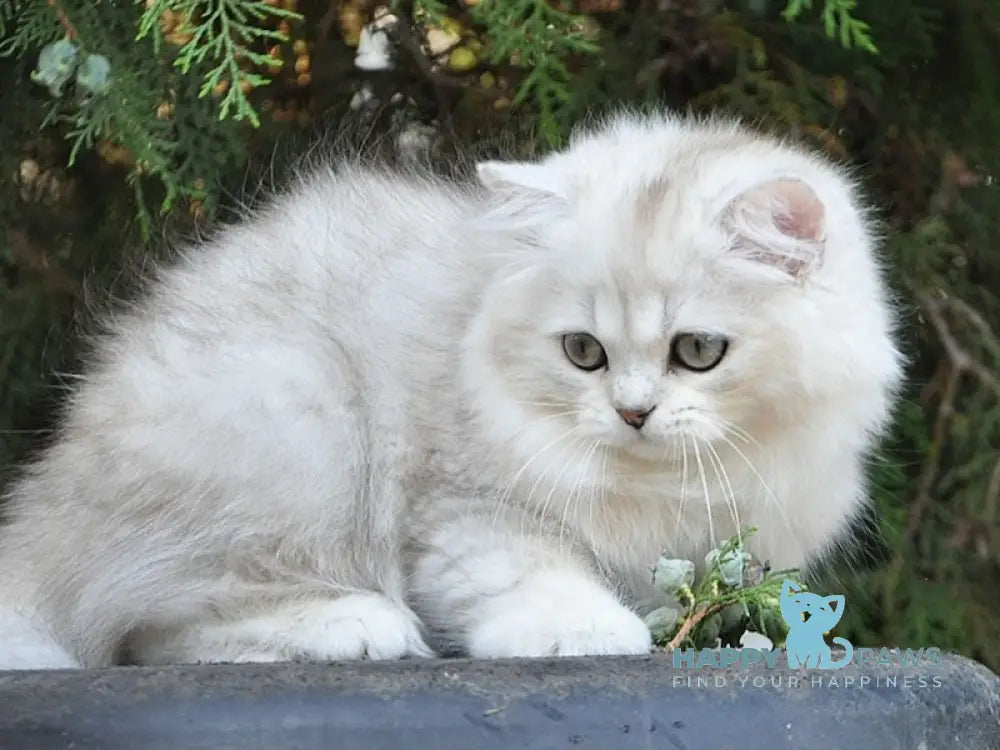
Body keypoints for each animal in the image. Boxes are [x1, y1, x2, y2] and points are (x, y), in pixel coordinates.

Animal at [0, 111, 904, 668]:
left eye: (698, 351)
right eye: (584, 352)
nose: (632, 411)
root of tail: (42, 511)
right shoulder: (461, 511)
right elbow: (531, 574)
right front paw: (585, 630)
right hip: (301, 421)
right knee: (148, 623)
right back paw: (355, 625)